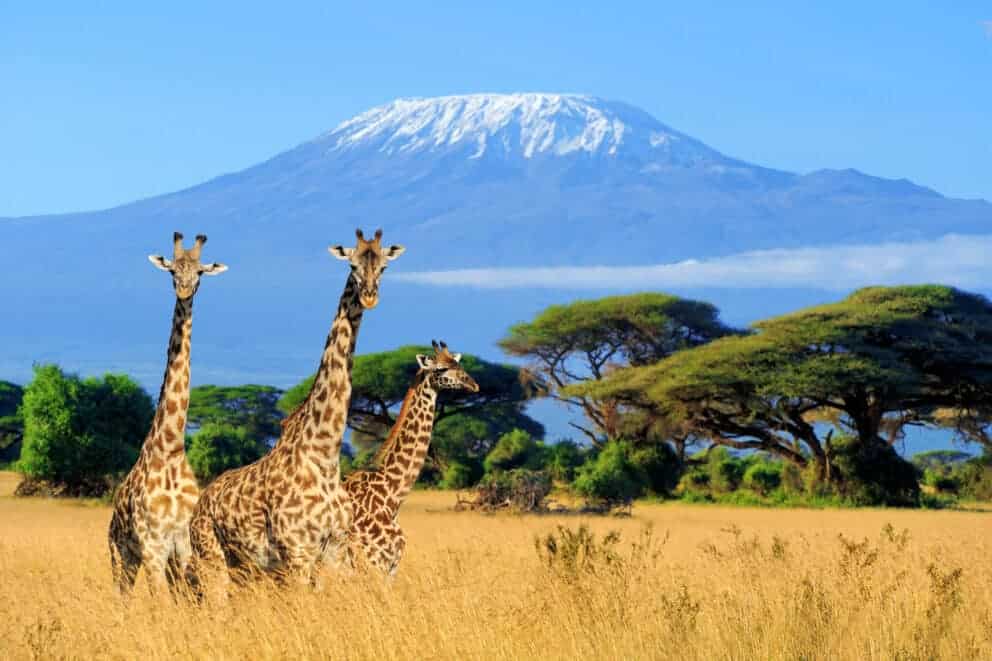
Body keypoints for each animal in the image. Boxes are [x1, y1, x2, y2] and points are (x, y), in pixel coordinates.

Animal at [108, 232, 228, 597]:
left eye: (200, 272)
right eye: (173, 270)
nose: (184, 290)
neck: (172, 448)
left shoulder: (183, 546)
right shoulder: (153, 548)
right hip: (120, 555)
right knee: (121, 598)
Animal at [187, 229, 403, 599]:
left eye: (384, 267)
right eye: (352, 265)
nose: (369, 296)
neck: (325, 454)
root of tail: (199, 506)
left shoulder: (334, 550)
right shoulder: (298, 552)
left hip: (244, 566)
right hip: (211, 556)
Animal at [341, 340, 479, 577]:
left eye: (458, 364)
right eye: (440, 368)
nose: (474, 385)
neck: (391, 496)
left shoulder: (390, 568)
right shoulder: (374, 563)